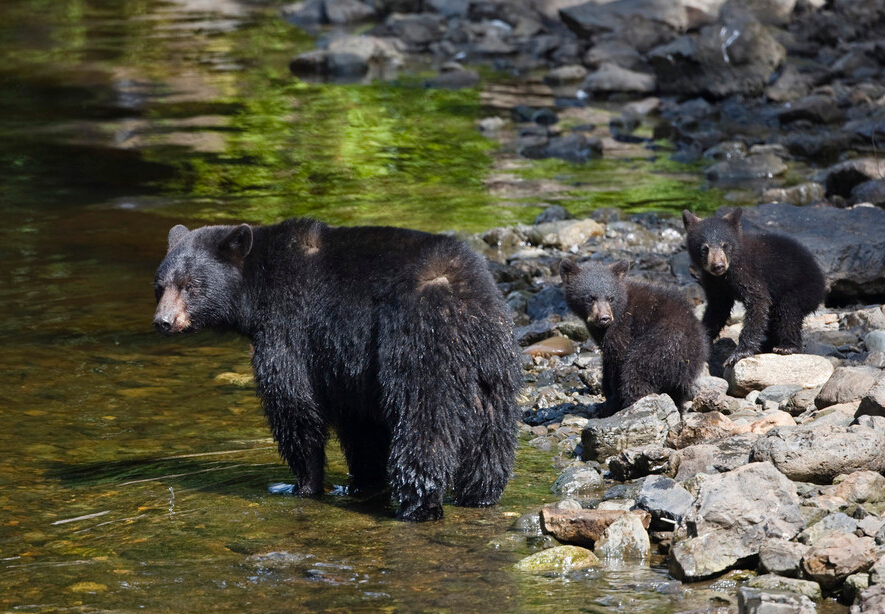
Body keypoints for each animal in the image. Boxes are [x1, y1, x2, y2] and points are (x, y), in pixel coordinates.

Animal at [155, 219, 520, 524]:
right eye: (160, 285)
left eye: (190, 286)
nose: (163, 321)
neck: (257, 286)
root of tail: (465, 298)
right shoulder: (349, 366)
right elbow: (361, 424)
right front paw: (363, 481)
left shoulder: (290, 325)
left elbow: (293, 404)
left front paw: (303, 485)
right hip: (493, 358)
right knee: (492, 431)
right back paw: (481, 494)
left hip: (418, 342)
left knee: (423, 422)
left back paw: (418, 506)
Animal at [560, 258, 704, 416]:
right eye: (590, 298)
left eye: (610, 298)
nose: (604, 318)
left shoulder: (622, 329)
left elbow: (617, 360)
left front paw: (608, 404)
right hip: (685, 372)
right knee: (677, 392)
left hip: (658, 347)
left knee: (635, 372)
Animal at [680, 209, 824, 368]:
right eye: (704, 248)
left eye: (725, 245)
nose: (718, 266)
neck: (724, 275)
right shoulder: (713, 282)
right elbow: (717, 309)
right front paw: (700, 341)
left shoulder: (746, 272)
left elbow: (758, 300)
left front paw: (739, 353)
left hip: (803, 289)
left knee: (788, 311)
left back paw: (787, 346)